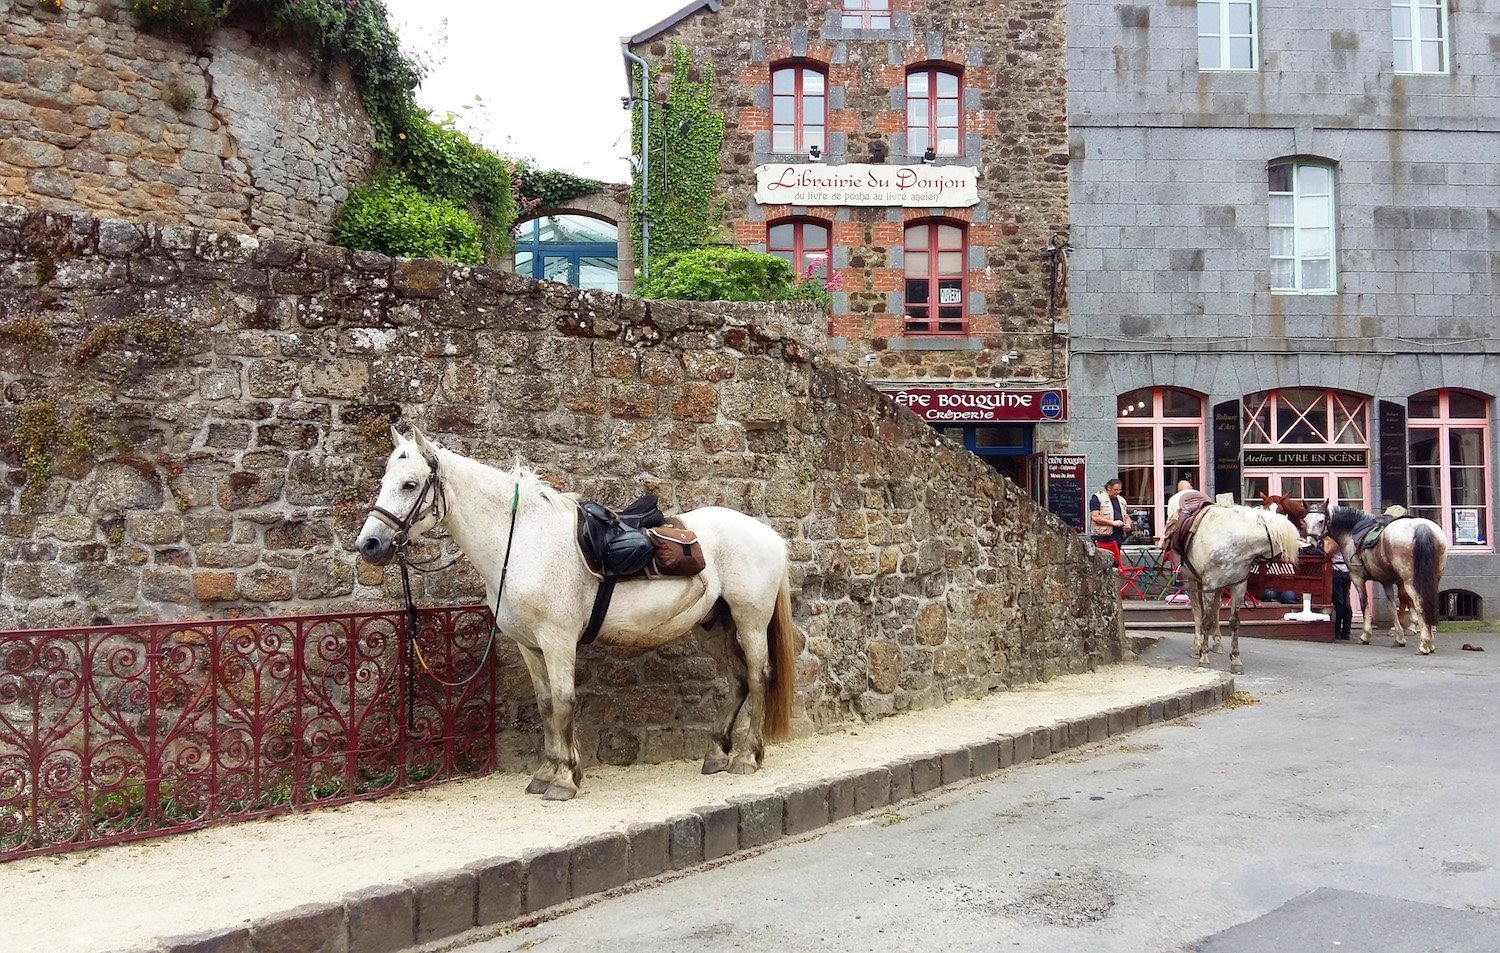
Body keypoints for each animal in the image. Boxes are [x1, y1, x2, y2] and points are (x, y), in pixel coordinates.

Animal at [354, 429, 798, 804]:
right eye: (384, 480)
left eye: (410, 484)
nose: (369, 544)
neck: (524, 542)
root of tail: (770, 536)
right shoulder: (530, 645)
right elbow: (546, 704)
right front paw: (547, 772)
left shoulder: (558, 641)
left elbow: (565, 701)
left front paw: (565, 779)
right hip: (712, 625)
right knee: (738, 680)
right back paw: (717, 753)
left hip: (749, 620)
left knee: (758, 676)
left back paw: (747, 757)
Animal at [1158, 495, 1302, 675]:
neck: (1235, 542)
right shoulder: (1209, 585)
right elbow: (1206, 620)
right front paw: (1204, 658)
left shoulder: (1237, 586)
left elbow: (1234, 622)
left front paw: (1236, 660)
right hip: (1190, 579)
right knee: (1198, 611)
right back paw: (1197, 647)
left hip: (1217, 587)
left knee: (1216, 610)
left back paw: (1217, 642)